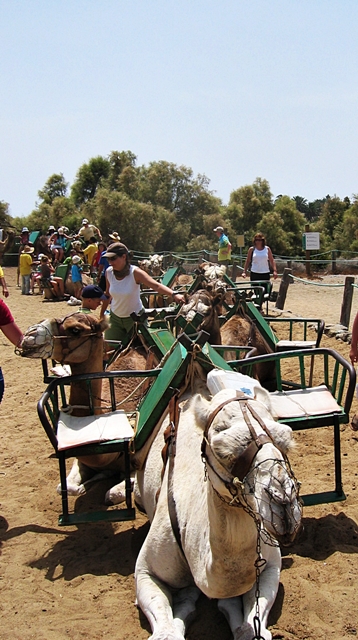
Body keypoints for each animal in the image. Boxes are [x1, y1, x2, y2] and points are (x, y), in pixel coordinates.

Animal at [134, 370, 302, 640]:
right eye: (224, 451)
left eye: (284, 441)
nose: (284, 504)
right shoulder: (145, 570)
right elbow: (167, 630)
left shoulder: (271, 566)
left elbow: (249, 623)